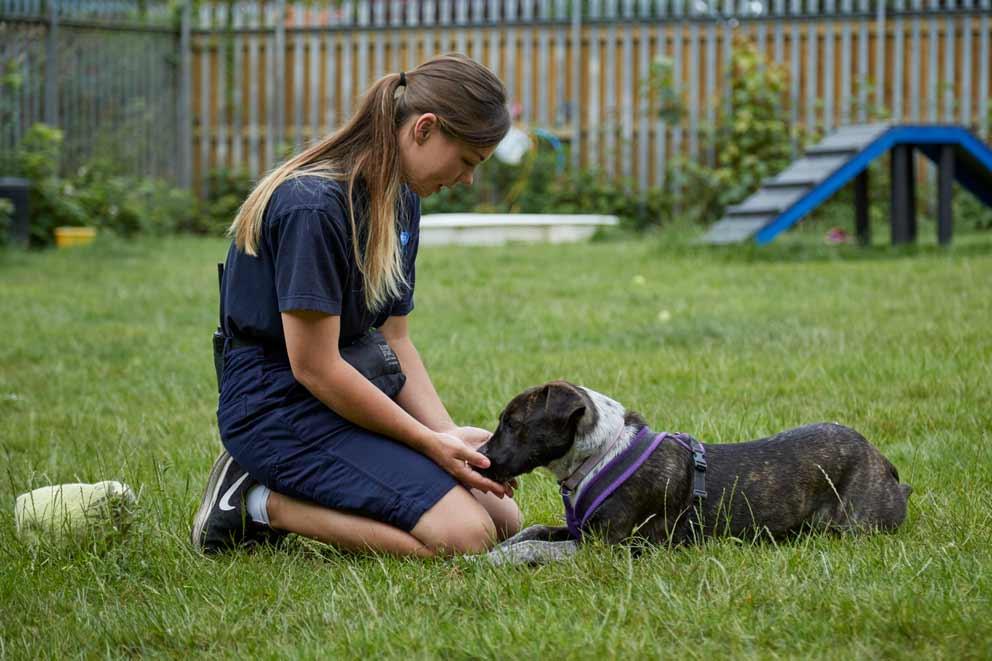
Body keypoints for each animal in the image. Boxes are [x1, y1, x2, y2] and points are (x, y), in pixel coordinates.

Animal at [476, 382, 912, 564]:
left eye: (512, 423)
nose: (481, 456)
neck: (603, 452)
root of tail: (882, 460)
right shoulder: (582, 530)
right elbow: (533, 533)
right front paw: (496, 549)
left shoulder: (605, 546)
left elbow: (535, 547)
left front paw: (493, 561)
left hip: (853, 526)